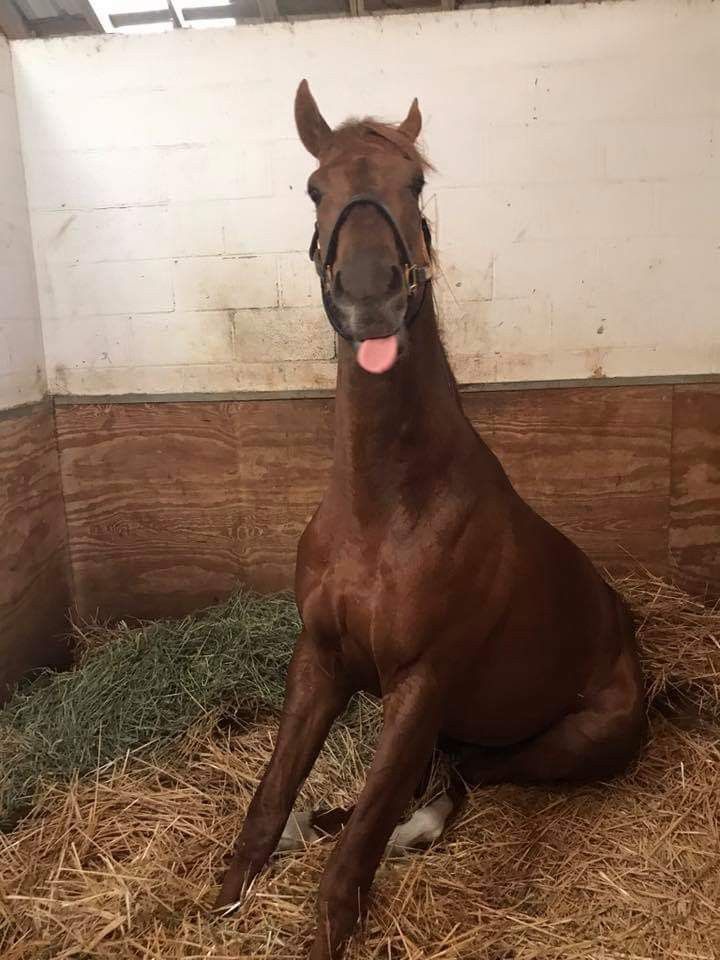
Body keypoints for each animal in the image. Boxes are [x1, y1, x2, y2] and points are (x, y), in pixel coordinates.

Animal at [215, 84, 648, 960]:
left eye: (414, 184)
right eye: (314, 188)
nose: (371, 295)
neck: (384, 510)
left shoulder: (422, 684)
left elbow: (357, 850)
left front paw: (329, 925)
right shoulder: (321, 659)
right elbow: (273, 789)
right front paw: (228, 890)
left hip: (570, 739)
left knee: (462, 779)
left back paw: (409, 827)